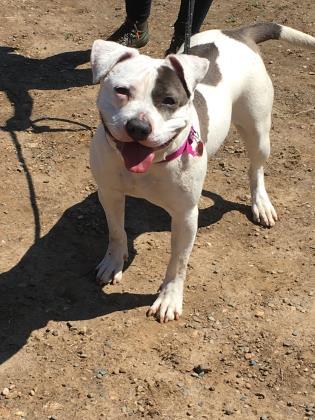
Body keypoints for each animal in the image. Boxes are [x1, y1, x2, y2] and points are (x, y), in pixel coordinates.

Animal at [90, 23, 314, 324]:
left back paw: (261, 204)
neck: (154, 163)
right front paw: (114, 262)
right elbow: (116, 231)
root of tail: (239, 33)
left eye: (169, 100)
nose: (138, 126)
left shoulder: (186, 216)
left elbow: (178, 263)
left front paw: (169, 299)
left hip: (258, 131)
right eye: (121, 90)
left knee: (256, 169)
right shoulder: (110, 194)